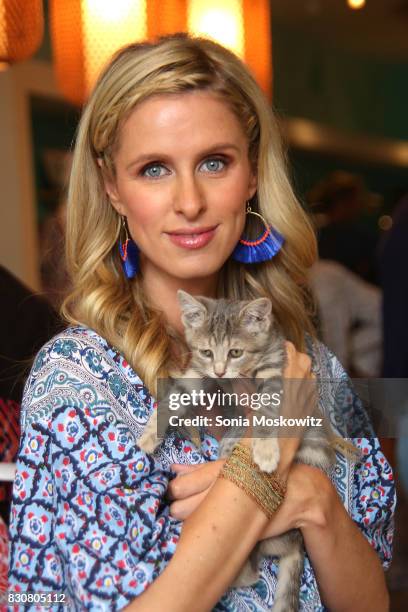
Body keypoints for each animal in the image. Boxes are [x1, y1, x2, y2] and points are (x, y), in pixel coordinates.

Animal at [139, 292, 336, 612]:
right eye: (207, 352)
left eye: (235, 352)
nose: (220, 370)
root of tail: (296, 542)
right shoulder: (197, 373)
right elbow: (174, 398)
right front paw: (148, 435)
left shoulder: (275, 369)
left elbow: (266, 412)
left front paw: (266, 451)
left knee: (252, 572)